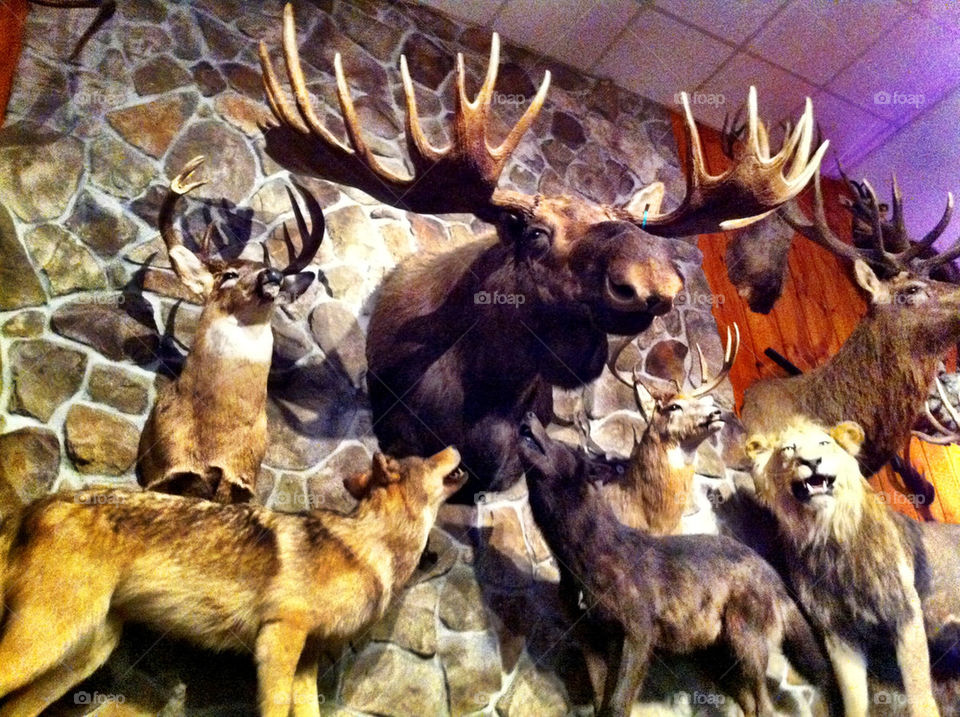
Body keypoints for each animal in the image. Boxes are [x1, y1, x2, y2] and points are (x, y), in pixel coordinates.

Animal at [136, 155, 324, 504]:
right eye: (229, 275)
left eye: (270, 271)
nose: (273, 275)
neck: (217, 433)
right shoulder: (166, 468)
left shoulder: (243, 480)